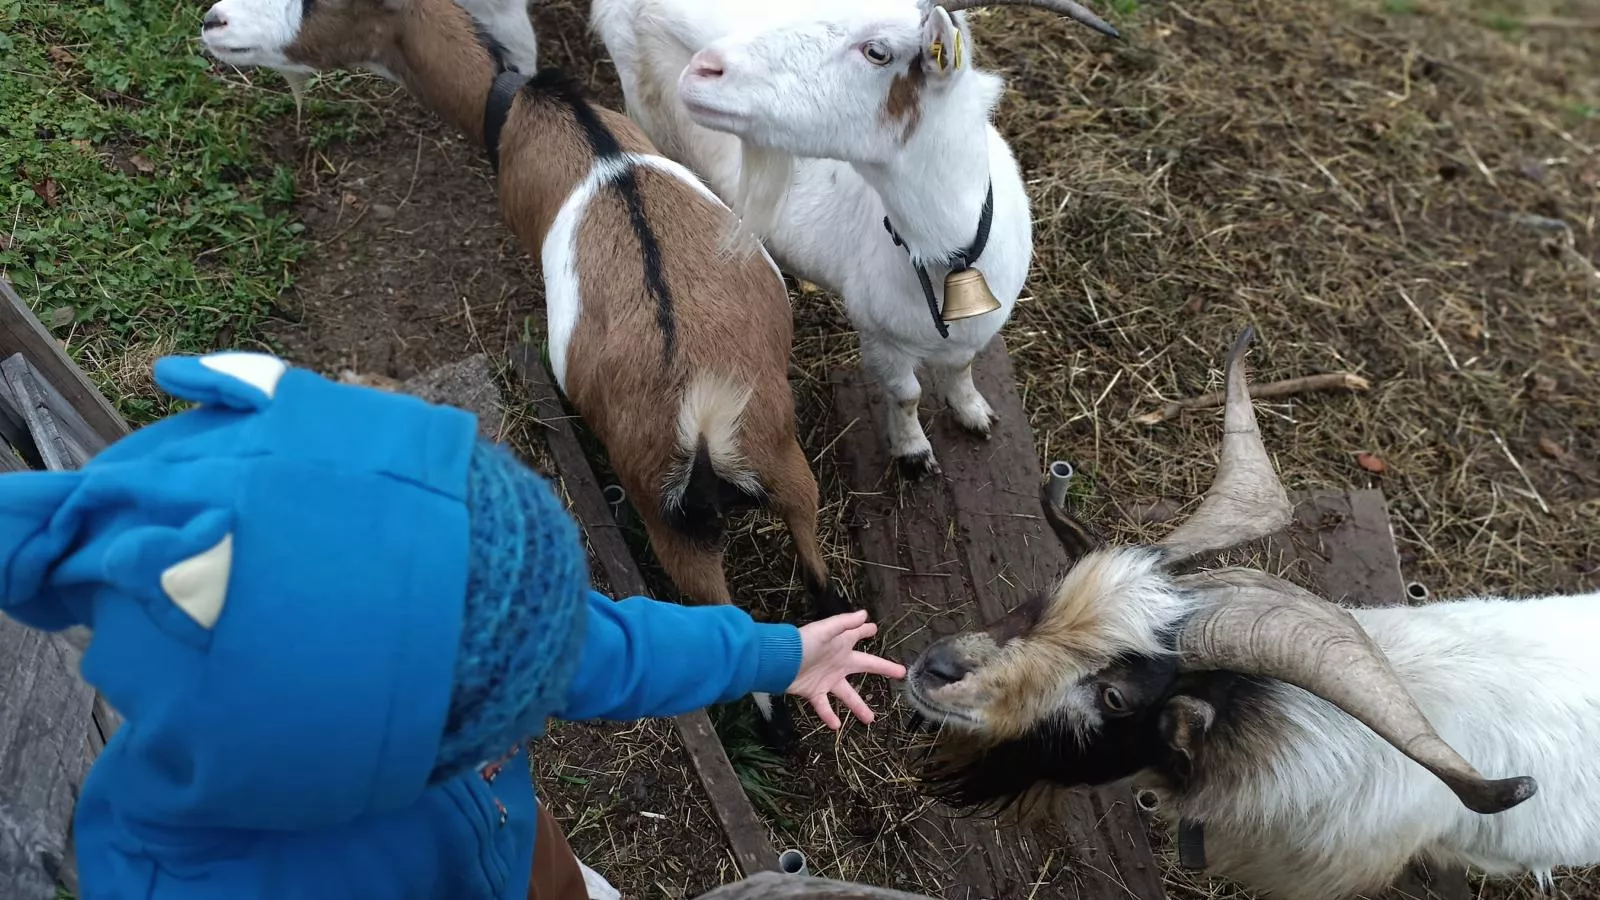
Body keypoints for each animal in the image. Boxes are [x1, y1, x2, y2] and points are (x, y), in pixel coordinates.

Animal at [196, 0, 851, 743]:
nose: (215, 22)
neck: (533, 111)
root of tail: (707, 438)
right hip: (784, 462)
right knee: (821, 577)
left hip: (672, 525)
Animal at [592, 0, 1126, 477]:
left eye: (877, 51)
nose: (705, 69)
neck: (945, 254)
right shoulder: (878, 333)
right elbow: (907, 393)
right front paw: (913, 453)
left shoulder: (976, 329)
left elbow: (961, 366)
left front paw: (974, 413)